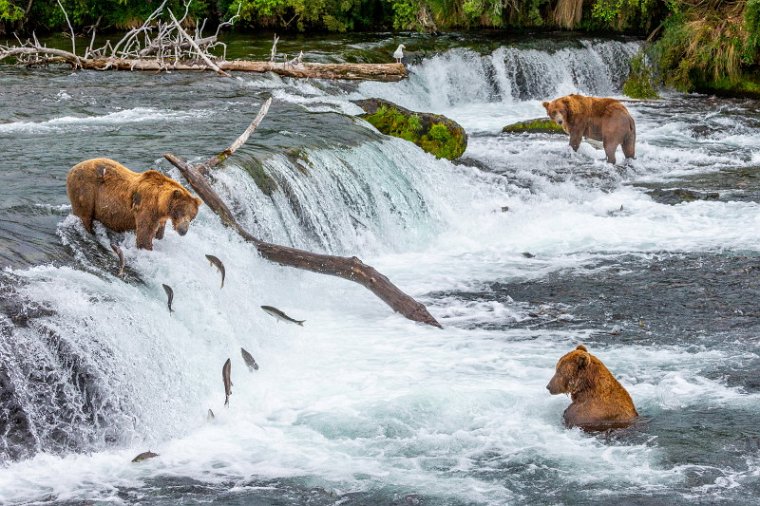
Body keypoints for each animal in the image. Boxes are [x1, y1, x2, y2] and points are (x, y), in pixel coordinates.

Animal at [66, 157, 202, 250]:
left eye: (192, 216)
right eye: (180, 211)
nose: (183, 230)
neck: (160, 205)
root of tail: (72, 169)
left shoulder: (161, 217)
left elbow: (159, 232)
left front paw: (158, 238)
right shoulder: (146, 207)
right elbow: (144, 233)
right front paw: (146, 248)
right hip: (85, 190)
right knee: (84, 215)